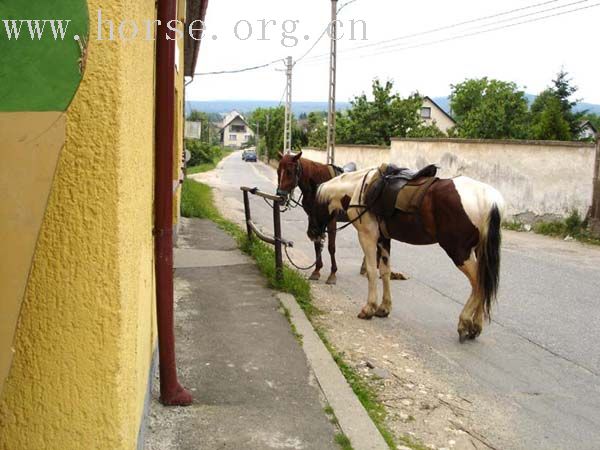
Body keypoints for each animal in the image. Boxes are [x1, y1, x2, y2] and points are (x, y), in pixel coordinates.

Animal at [308, 168, 504, 342]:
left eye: (310, 208)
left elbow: (371, 271)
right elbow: (385, 272)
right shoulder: (383, 239)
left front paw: (369, 308)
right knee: (483, 283)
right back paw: (476, 325)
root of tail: (488, 199)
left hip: (459, 251)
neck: (360, 189)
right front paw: (384, 308)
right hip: (477, 252)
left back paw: (465, 322)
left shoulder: (367, 236)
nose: (311, 234)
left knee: (479, 283)